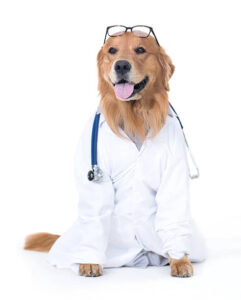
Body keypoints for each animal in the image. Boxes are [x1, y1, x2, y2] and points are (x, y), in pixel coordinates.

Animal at [25, 27, 205, 276]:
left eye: (140, 49)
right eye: (112, 51)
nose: (121, 65)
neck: (135, 115)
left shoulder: (174, 173)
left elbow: (173, 212)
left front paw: (179, 260)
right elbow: (95, 213)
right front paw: (89, 262)